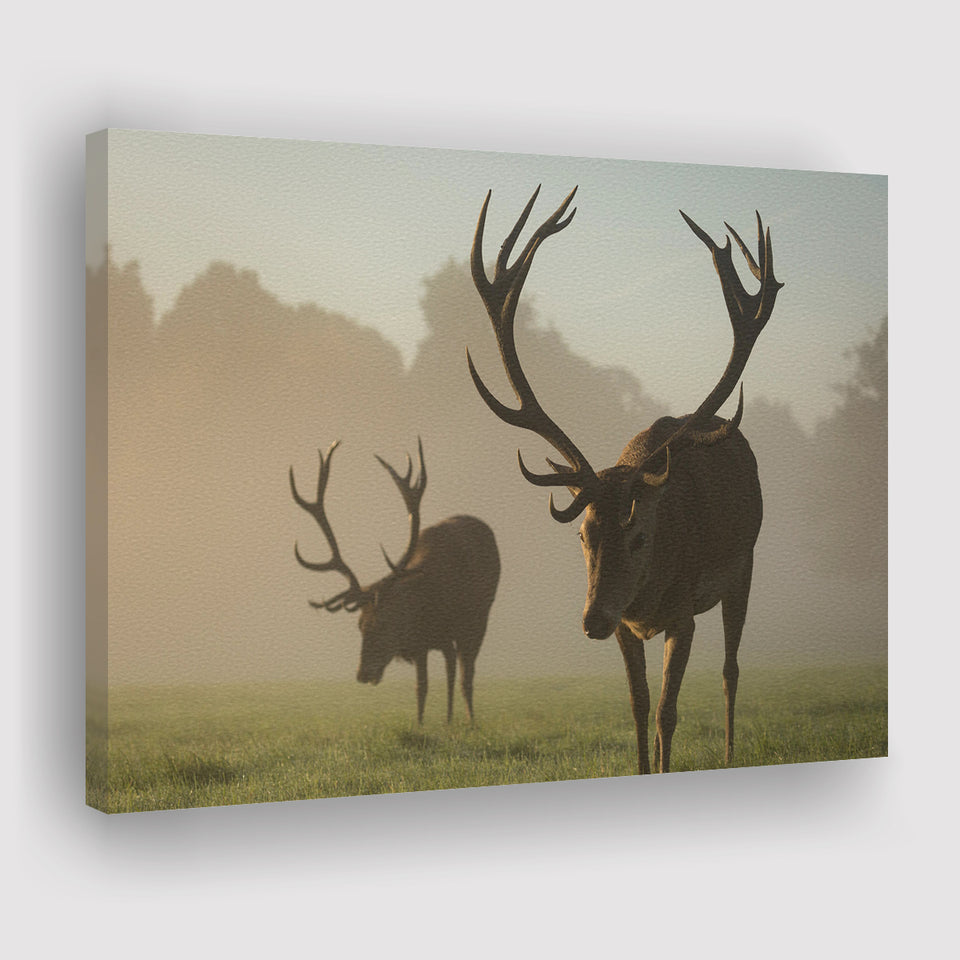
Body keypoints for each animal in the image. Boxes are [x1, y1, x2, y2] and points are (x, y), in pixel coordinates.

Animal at [290, 437, 500, 724]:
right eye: (359, 625)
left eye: (384, 623)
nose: (363, 673)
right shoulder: (423, 642)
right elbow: (421, 687)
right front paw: (421, 724)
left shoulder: (457, 629)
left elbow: (457, 679)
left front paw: (463, 723)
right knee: (451, 669)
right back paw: (448, 719)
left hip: (480, 619)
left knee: (464, 674)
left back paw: (466, 720)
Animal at [467, 186, 782, 774]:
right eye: (582, 534)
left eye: (638, 535)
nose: (590, 619)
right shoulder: (627, 628)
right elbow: (639, 708)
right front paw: (643, 766)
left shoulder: (683, 615)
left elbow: (667, 713)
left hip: (745, 567)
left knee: (730, 670)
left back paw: (731, 754)